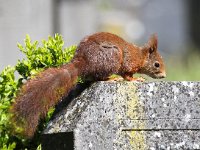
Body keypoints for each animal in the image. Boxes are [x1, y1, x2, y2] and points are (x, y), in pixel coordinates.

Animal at [10, 32, 166, 138]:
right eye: (156, 64)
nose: (164, 76)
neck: (140, 56)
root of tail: (83, 61)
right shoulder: (128, 63)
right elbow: (127, 76)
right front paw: (136, 80)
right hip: (112, 57)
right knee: (98, 78)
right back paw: (110, 79)